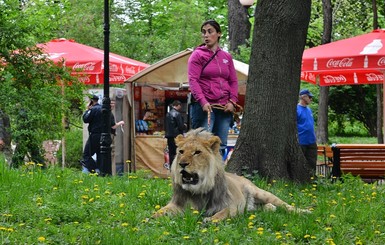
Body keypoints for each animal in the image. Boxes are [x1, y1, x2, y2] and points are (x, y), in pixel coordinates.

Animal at [152, 128, 310, 222]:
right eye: (181, 152)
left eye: (197, 152)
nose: (182, 164)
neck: (199, 190)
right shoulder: (177, 204)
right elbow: (163, 210)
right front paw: (152, 217)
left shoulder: (231, 205)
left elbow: (222, 213)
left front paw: (210, 220)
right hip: (253, 206)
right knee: (265, 207)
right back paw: (269, 209)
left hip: (261, 193)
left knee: (284, 204)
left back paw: (304, 211)